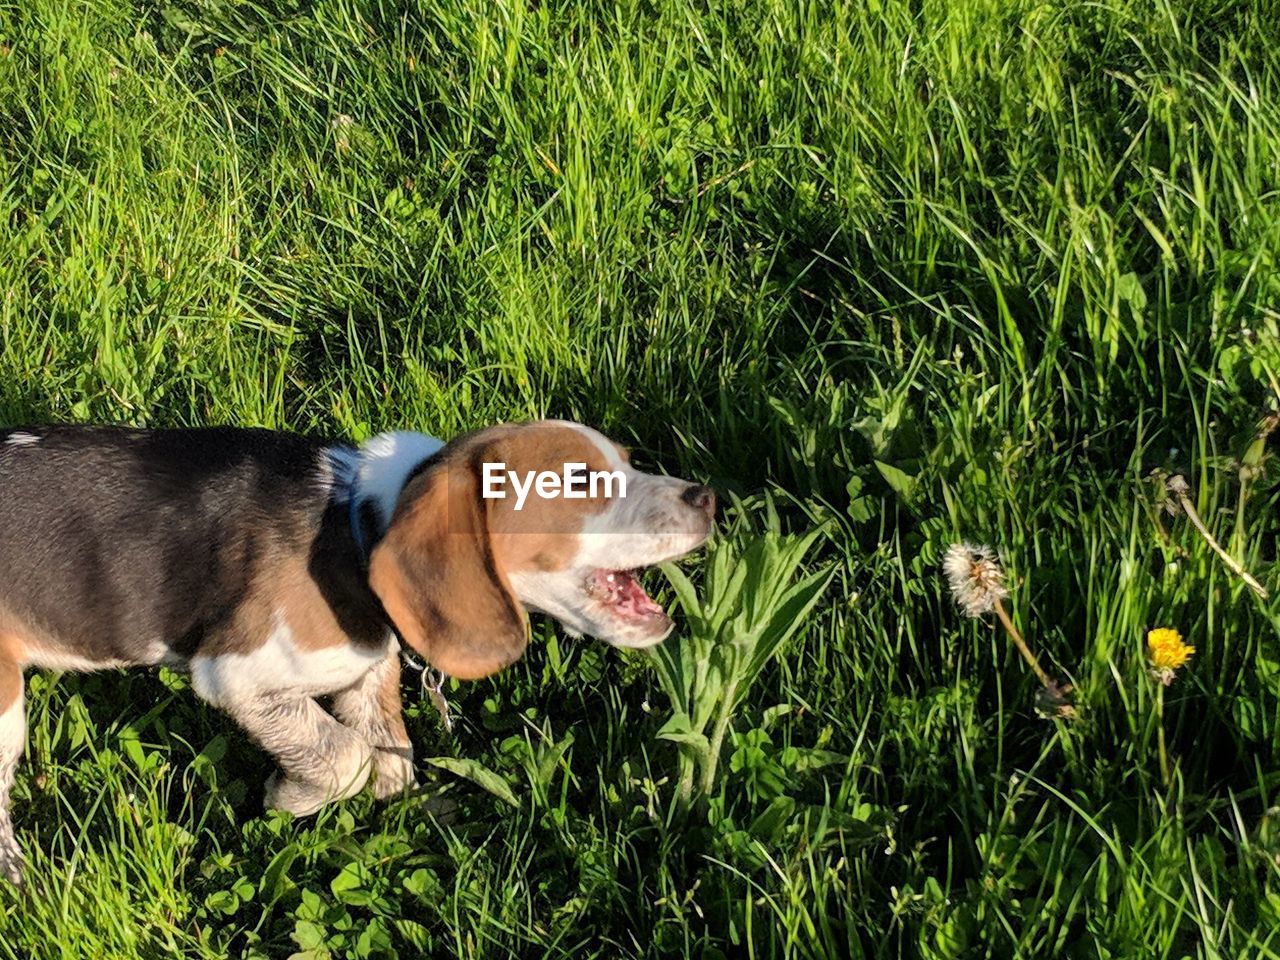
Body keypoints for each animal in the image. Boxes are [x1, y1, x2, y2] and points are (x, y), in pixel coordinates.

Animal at [0, 419, 721, 885]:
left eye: (628, 461)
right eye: (578, 481)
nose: (707, 497)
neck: (355, 528)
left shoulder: (369, 672)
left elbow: (389, 754)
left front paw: (399, 816)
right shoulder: (236, 677)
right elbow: (344, 757)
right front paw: (288, 797)